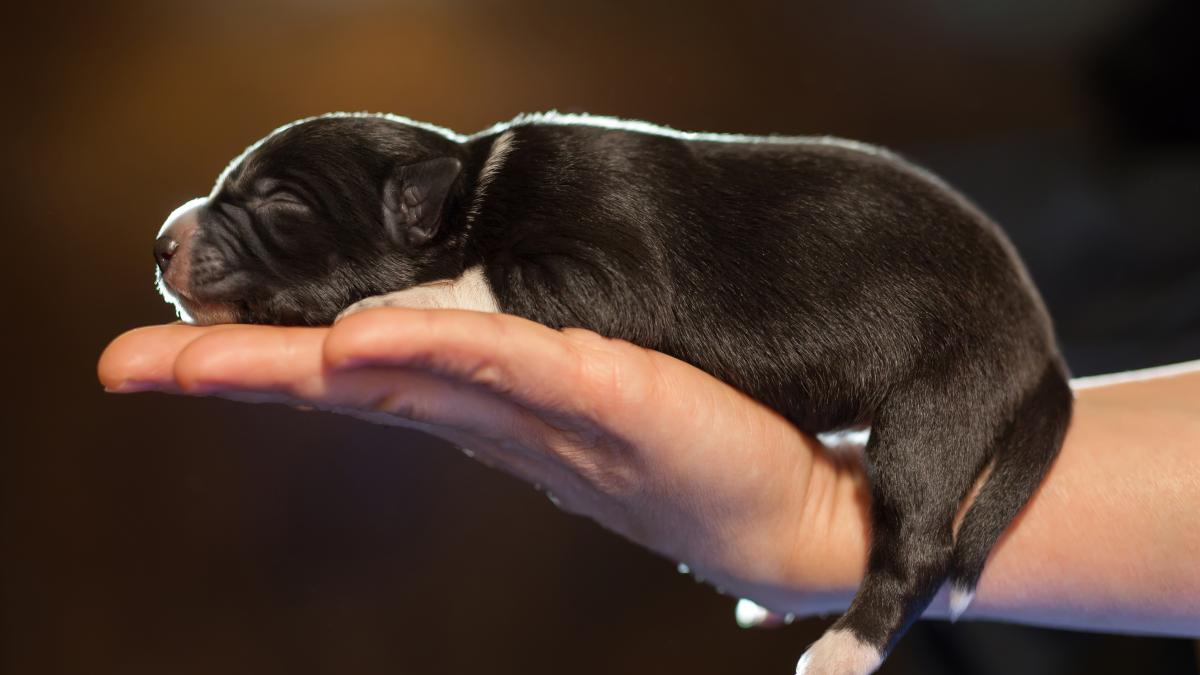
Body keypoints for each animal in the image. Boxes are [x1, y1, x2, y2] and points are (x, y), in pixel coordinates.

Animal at [157, 111, 1070, 672]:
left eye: (279, 202)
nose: (162, 243)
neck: (475, 188)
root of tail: (1039, 337)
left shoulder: (611, 273)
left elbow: (494, 276)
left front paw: (393, 301)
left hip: (941, 394)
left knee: (917, 541)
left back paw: (843, 648)